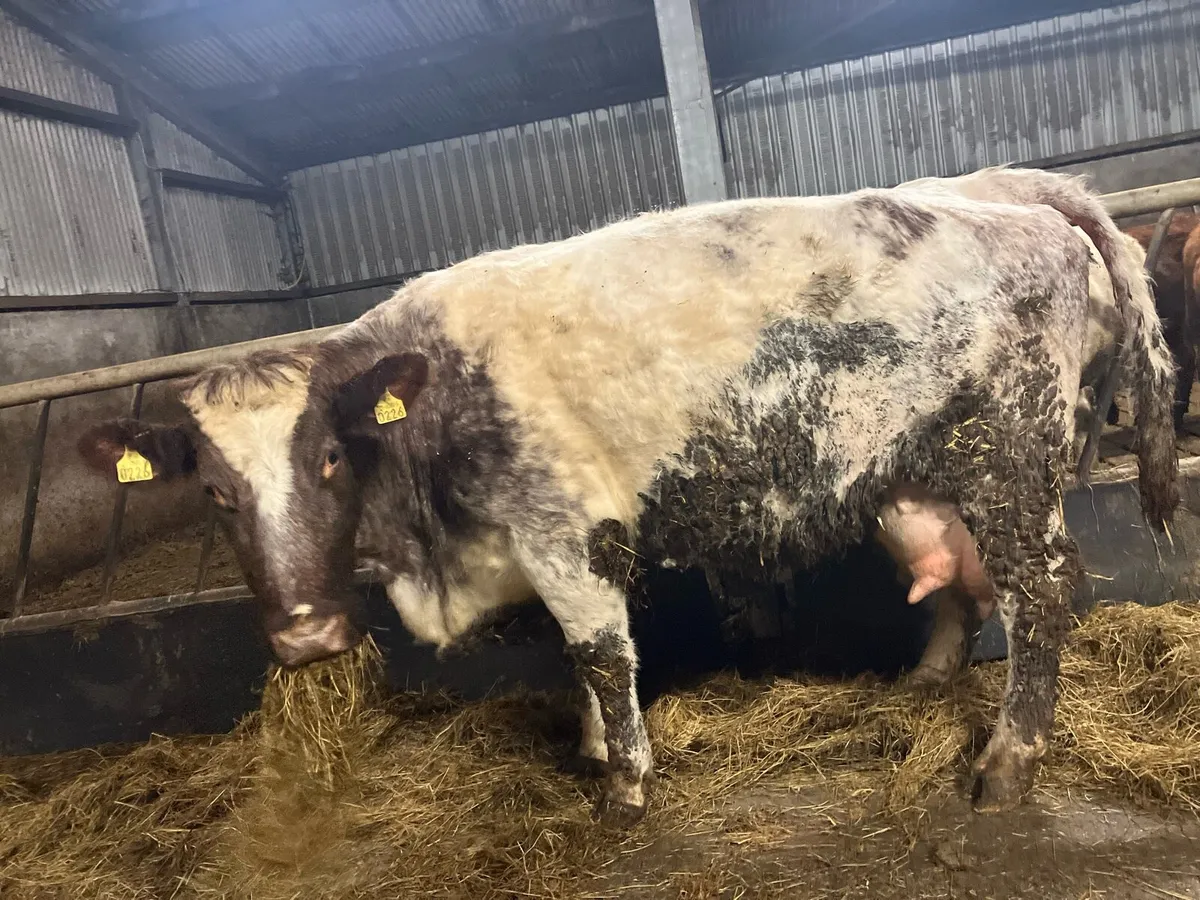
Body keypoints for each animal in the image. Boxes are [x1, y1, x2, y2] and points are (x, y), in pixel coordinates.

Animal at [75, 177, 1178, 827]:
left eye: (334, 458)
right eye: (215, 493)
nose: (305, 639)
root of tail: (1007, 195)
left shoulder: (563, 530)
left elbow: (602, 654)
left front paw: (627, 782)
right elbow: (580, 664)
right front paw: (598, 748)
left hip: (1013, 466)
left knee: (1044, 595)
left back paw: (1007, 760)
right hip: (931, 474)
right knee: (969, 586)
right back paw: (930, 682)